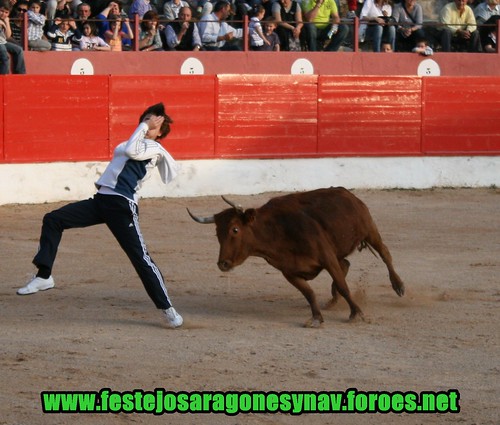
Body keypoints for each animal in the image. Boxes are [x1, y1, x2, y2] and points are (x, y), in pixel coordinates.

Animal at [188, 186, 406, 328]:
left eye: (235, 229)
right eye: (217, 233)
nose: (223, 264)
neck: (276, 231)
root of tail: (346, 192)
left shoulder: (327, 258)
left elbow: (343, 286)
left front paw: (357, 314)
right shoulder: (289, 271)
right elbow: (309, 293)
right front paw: (317, 318)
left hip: (370, 229)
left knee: (385, 254)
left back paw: (398, 286)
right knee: (345, 263)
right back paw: (332, 300)